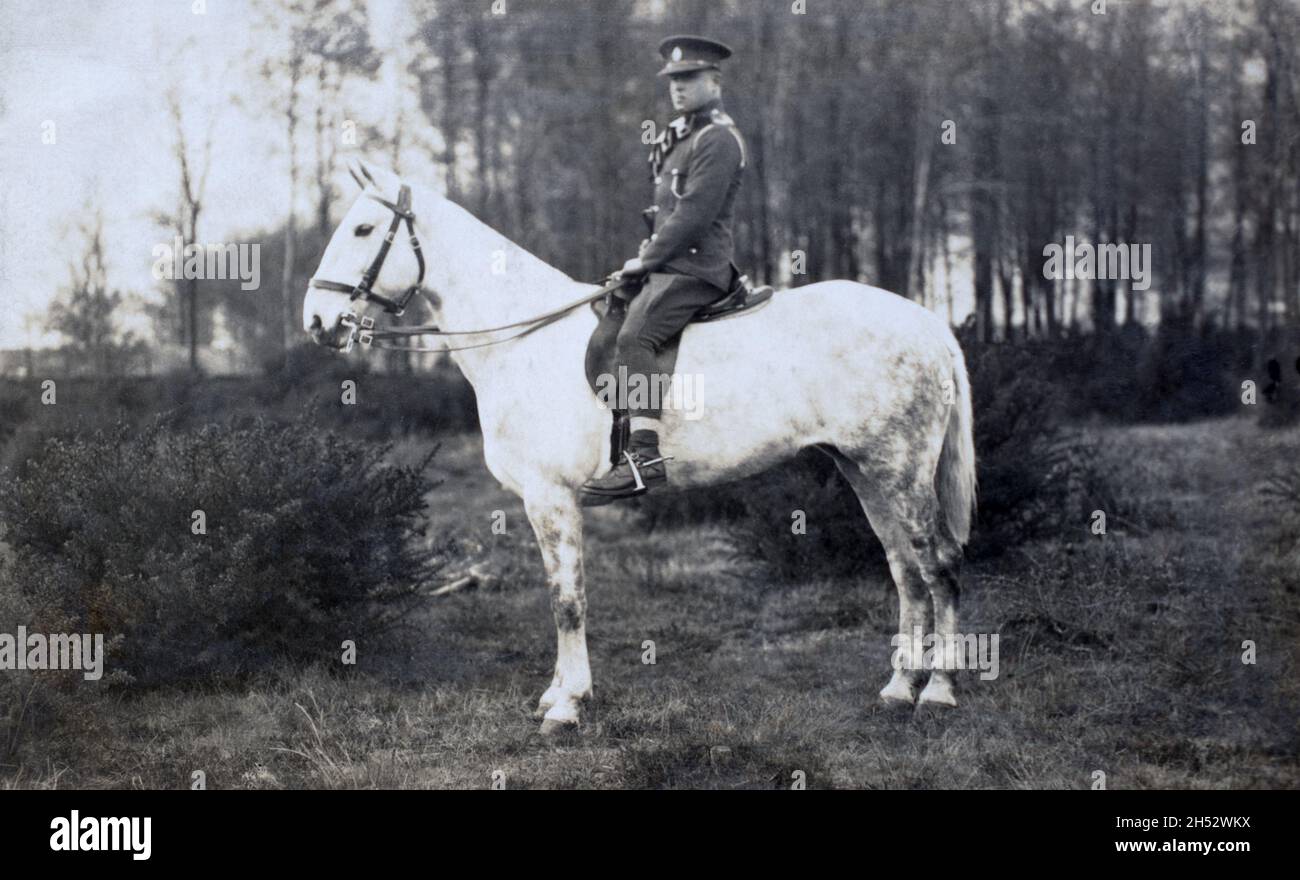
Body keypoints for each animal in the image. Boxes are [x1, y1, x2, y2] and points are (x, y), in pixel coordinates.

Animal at [303, 158, 977, 735]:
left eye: (363, 228)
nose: (316, 321)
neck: (525, 339)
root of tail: (927, 322)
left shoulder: (551, 497)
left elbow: (567, 599)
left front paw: (568, 705)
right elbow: (560, 595)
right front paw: (558, 693)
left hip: (901, 471)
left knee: (938, 566)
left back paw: (940, 692)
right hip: (864, 469)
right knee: (904, 570)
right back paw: (898, 689)